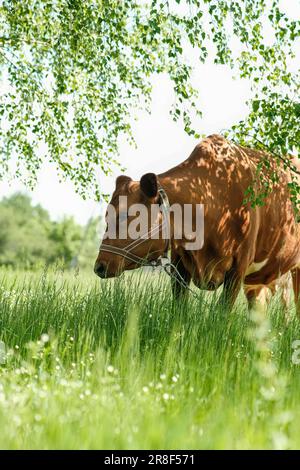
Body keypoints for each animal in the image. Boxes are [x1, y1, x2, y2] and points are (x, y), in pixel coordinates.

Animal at [95, 134, 300, 314]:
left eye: (124, 215)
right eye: (106, 215)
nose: (99, 266)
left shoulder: (239, 266)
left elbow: (222, 313)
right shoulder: (179, 262)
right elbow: (179, 308)